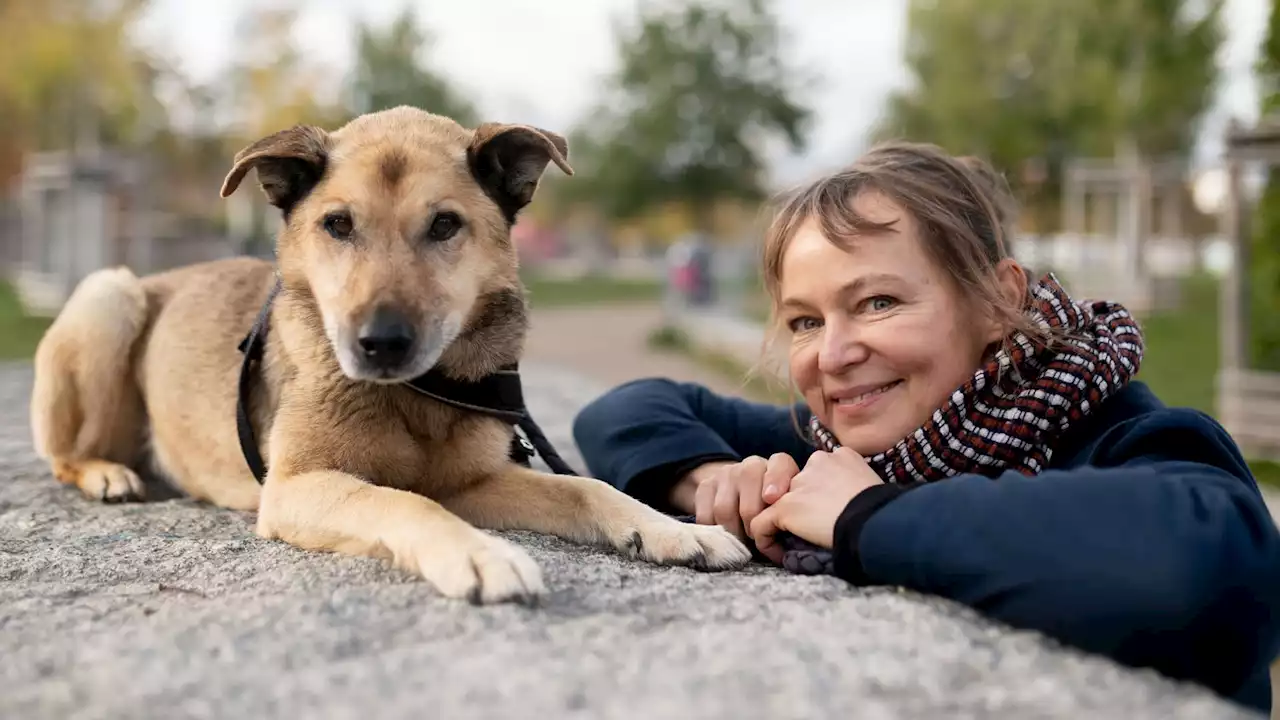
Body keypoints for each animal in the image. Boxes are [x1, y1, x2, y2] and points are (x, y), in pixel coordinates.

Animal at [27, 105, 747, 599]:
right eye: (337, 225)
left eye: (445, 225)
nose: (379, 343)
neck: (417, 394)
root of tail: (158, 278)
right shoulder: (295, 487)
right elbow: (402, 501)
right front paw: (480, 554)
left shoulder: (470, 482)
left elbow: (584, 487)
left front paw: (675, 529)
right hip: (108, 294)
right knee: (64, 454)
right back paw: (106, 474)